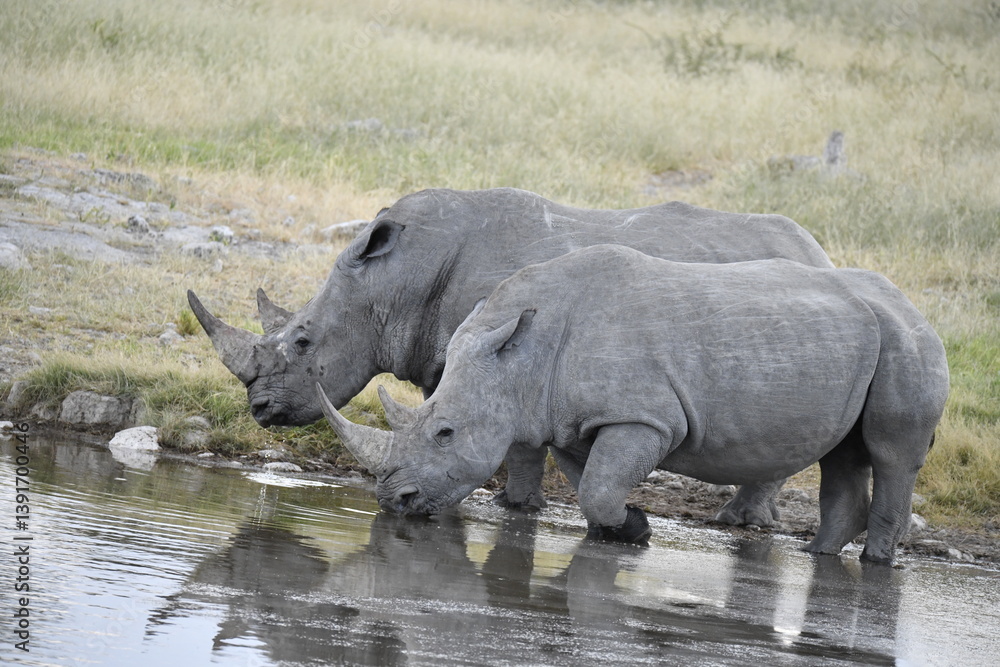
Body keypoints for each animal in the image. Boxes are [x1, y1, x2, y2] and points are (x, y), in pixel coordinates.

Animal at [188, 187, 834, 524]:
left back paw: (742, 523)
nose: (259, 407)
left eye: (303, 342)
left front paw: (513, 504)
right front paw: (509, 501)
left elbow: (511, 437)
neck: (395, 283)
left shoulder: (504, 351)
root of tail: (819, 250)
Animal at [318, 245, 949, 564]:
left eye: (445, 433)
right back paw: (820, 556)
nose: (395, 502)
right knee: (844, 454)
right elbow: (590, 485)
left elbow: (600, 485)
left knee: (892, 452)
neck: (518, 357)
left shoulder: (643, 418)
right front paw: (624, 531)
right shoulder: (572, 420)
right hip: (863, 338)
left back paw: (874, 564)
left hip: (909, 340)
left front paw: (635, 530)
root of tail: (912, 303)